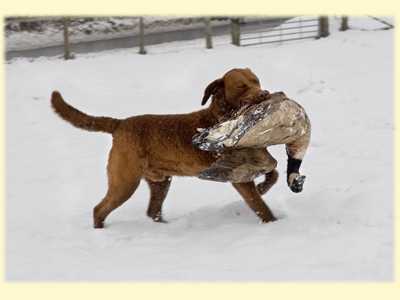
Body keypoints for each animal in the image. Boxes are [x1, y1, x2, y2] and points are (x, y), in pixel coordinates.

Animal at [51, 68, 278, 227]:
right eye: (241, 86)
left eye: (256, 81)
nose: (264, 93)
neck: (223, 116)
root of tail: (120, 124)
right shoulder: (239, 176)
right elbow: (260, 206)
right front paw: (272, 223)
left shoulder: (260, 161)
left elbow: (273, 173)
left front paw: (263, 188)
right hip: (125, 181)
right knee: (99, 209)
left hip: (160, 181)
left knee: (153, 211)